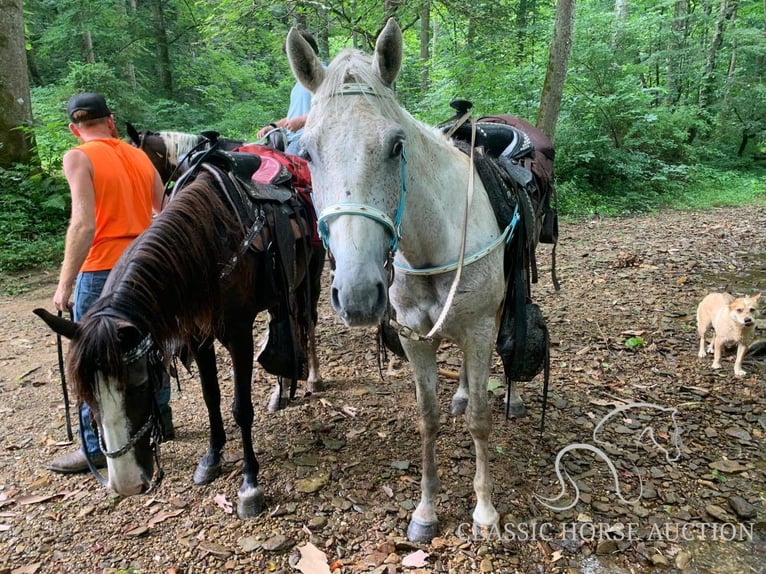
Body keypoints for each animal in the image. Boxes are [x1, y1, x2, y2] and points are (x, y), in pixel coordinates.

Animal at [36, 151, 324, 520]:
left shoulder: (239, 333)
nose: (127, 483)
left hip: (309, 279)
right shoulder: (198, 336)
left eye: (140, 384)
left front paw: (249, 485)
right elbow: (210, 396)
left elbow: (241, 407)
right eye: (84, 393)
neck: (209, 244)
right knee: (283, 326)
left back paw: (312, 377)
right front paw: (211, 459)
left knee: (307, 323)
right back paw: (281, 392)